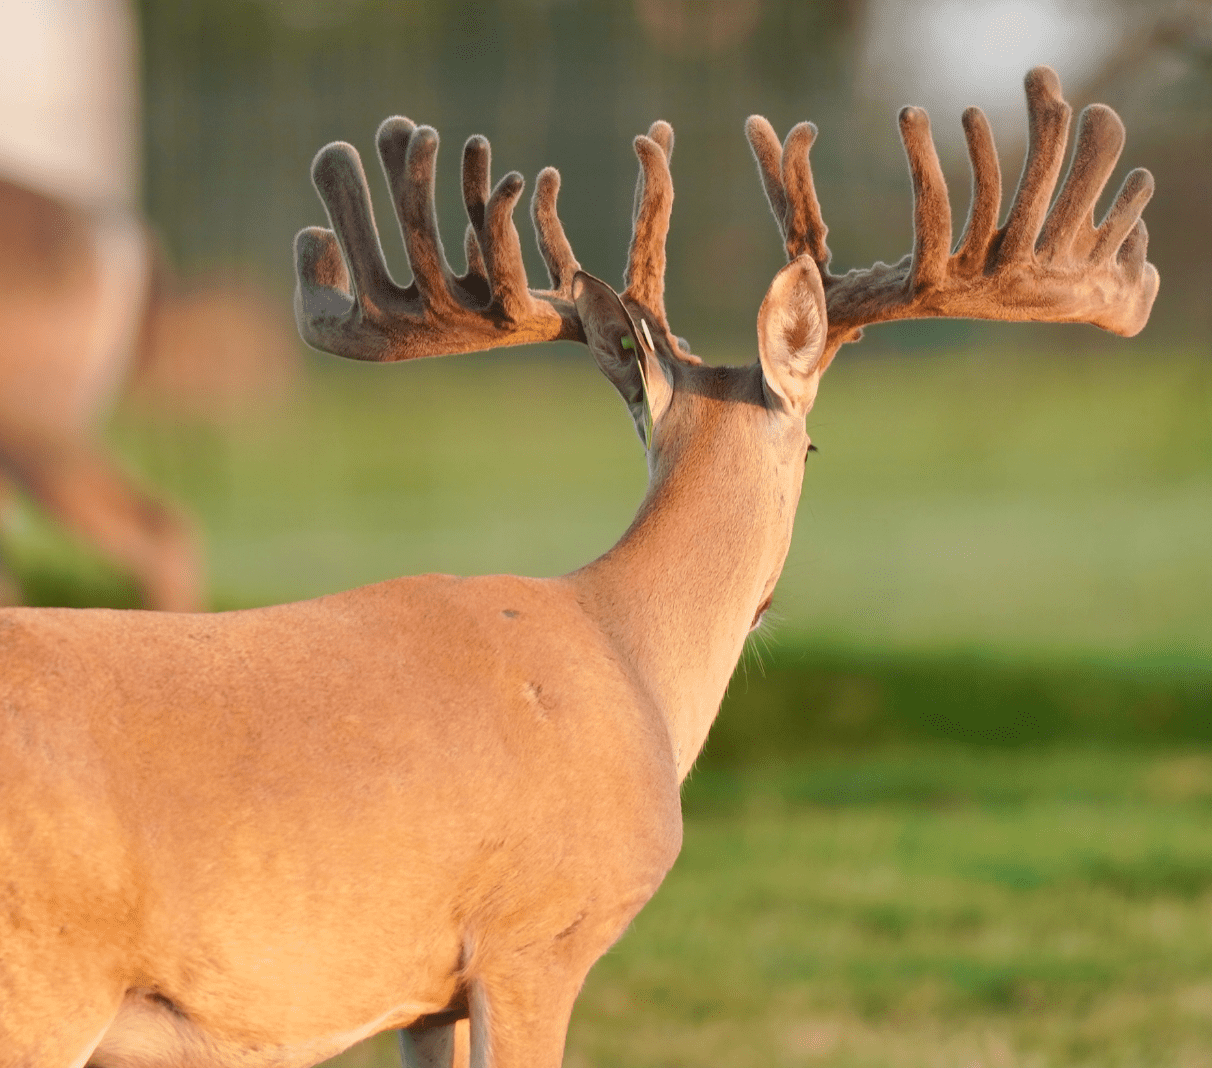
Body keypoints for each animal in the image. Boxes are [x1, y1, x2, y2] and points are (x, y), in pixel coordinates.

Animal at [0, 67, 1155, 1068]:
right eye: (819, 447)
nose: (769, 602)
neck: (629, 651)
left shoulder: (425, 992)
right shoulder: (534, 938)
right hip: (44, 984)